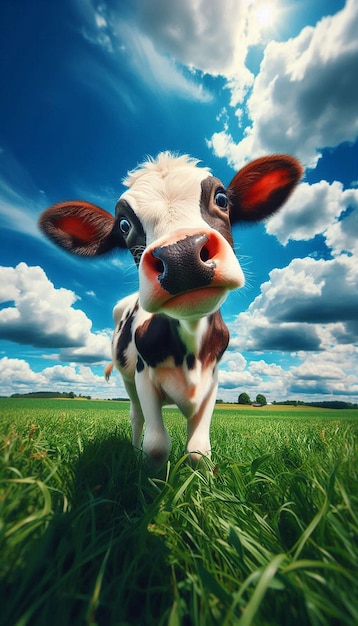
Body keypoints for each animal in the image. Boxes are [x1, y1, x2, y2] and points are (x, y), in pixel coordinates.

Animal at [39, 151, 302, 468]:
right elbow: (156, 445)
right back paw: (133, 451)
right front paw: (150, 473)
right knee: (136, 417)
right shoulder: (143, 376)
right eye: (124, 225)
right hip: (128, 379)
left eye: (222, 198)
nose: (181, 256)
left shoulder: (211, 380)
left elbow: (199, 451)